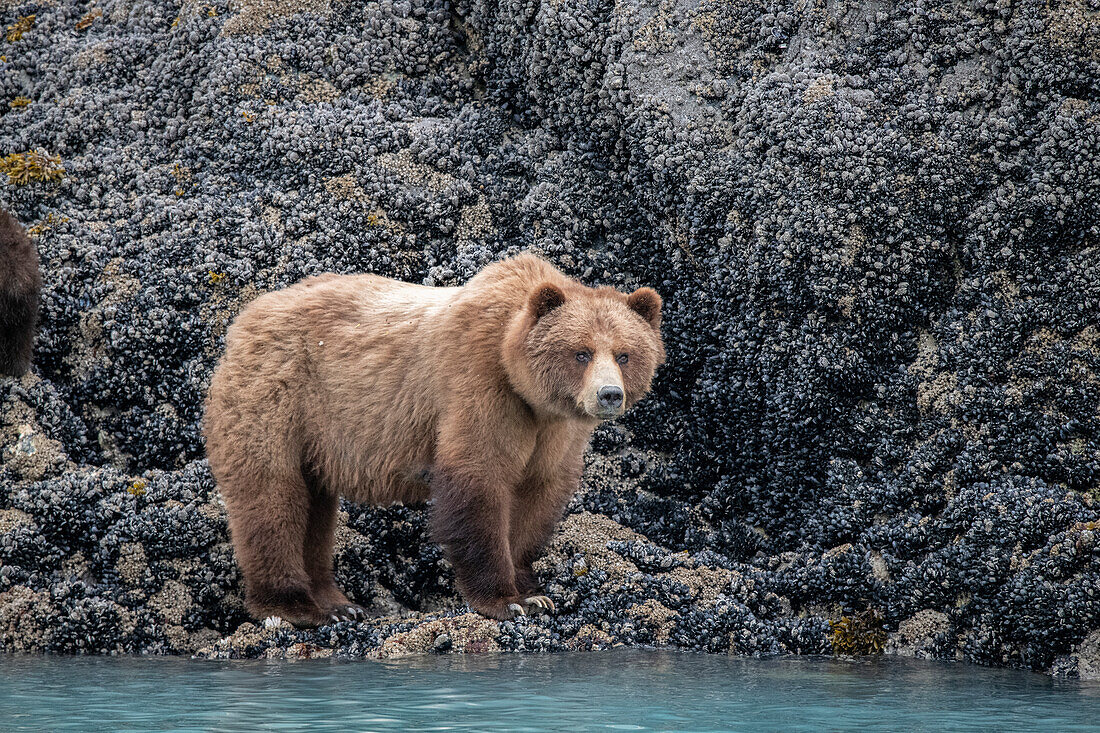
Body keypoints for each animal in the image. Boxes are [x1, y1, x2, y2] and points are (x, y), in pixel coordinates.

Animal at [203, 253, 664, 620]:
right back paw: (295, 606)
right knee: (273, 497)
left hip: (315, 437)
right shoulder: (479, 384)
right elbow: (478, 479)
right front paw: (507, 600)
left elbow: (538, 496)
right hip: (277, 396)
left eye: (624, 354)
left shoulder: (556, 432)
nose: (609, 394)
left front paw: (533, 591)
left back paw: (338, 604)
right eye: (581, 352)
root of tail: (244, 318)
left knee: (316, 507)